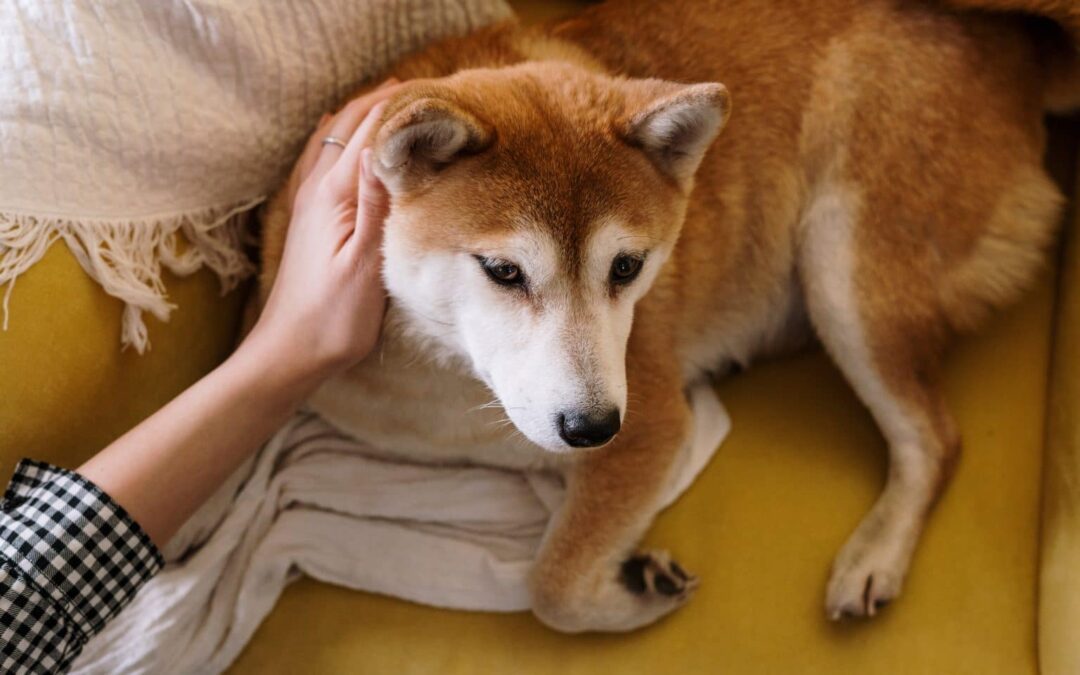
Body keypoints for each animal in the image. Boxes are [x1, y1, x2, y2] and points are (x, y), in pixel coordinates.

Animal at [254, 0, 1080, 630]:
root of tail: (1016, 45)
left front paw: (626, 589)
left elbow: (550, 586)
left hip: (843, 259)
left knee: (933, 440)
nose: (593, 428)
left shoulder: (652, 422)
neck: (450, 390)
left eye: (627, 266)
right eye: (502, 271)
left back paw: (875, 553)